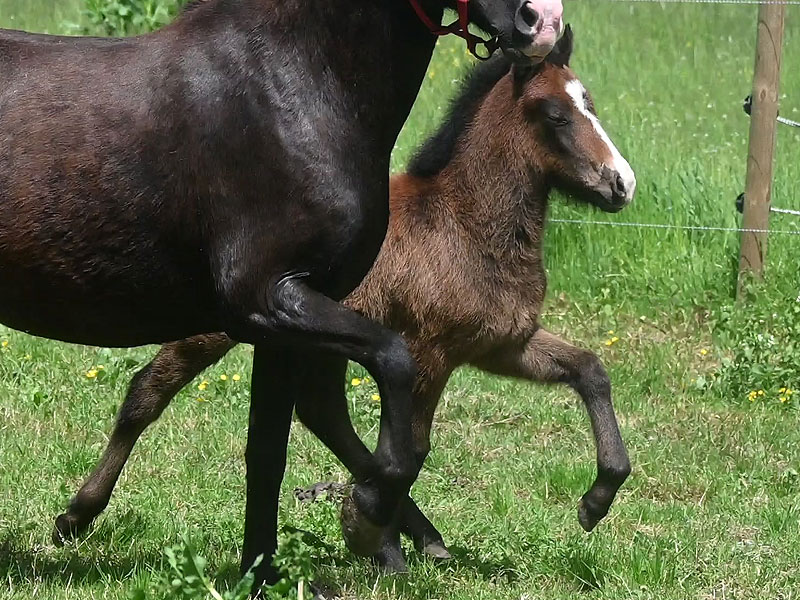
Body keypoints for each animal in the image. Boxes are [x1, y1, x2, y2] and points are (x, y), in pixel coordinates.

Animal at [0, 0, 561, 586]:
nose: (541, 21)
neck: (291, 85)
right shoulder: (265, 300)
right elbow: (394, 365)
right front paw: (368, 519)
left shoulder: (283, 328)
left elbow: (268, 452)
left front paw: (262, 573)